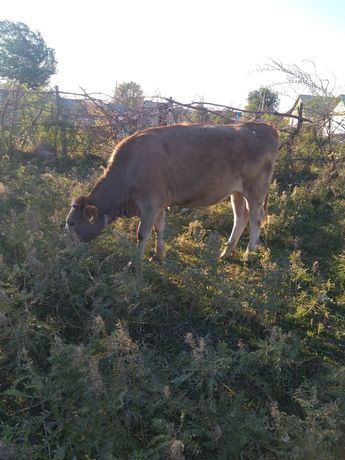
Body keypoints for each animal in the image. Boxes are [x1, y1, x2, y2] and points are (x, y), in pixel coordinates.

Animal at [66, 122, 278, 260]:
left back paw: (248, 255)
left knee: (255, 220)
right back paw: (226, 253)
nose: (65, 247)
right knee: (241, 218)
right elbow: (159, 228)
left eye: (72, 223)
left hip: (255, 190)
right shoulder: (159, 203)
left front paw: (134, 264)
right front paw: (158, 255)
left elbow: (142, 233)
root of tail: (266, 127)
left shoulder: (150, 204)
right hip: (237, 192)